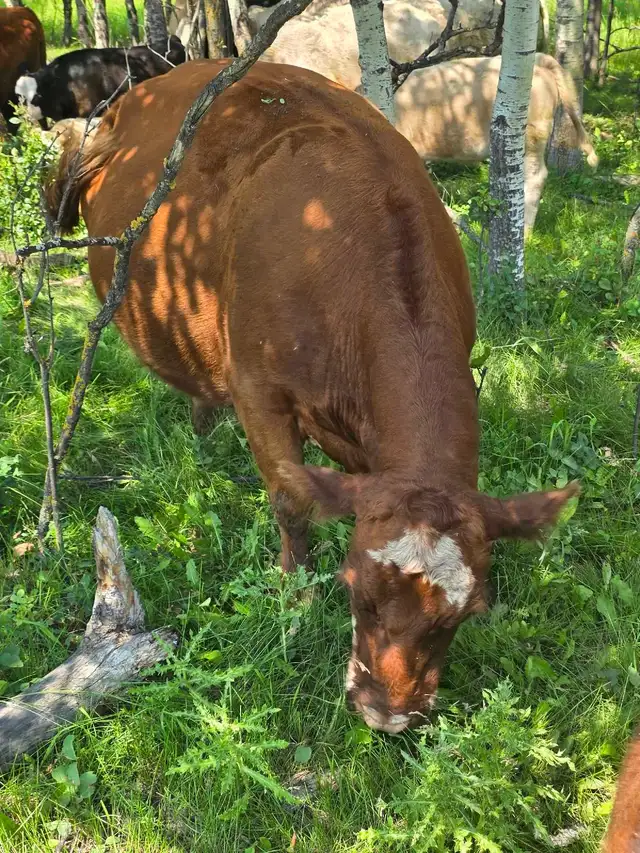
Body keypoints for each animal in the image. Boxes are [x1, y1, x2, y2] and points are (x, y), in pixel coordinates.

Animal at [47, 60, 577, 732]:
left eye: (463, 616)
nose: (387, 716)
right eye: (357, 592)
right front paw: (293, 598)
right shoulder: (259, 392)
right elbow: (292, 501)